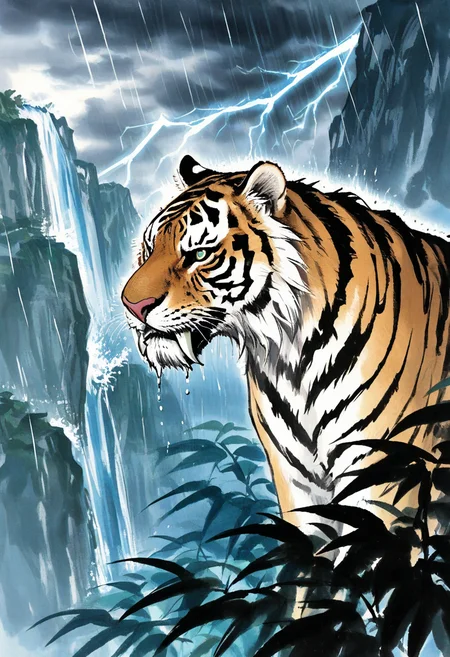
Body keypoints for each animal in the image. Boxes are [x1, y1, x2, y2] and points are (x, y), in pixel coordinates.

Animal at [121, 155, 450, 527]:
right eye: (150, 248)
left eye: (200, 254)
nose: (131, 305)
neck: (294, 354)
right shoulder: (296, 477)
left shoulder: (384, 470)